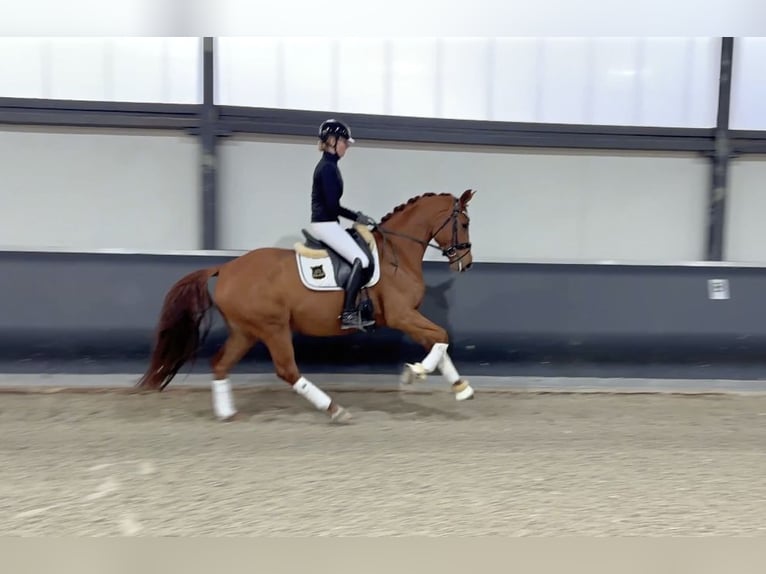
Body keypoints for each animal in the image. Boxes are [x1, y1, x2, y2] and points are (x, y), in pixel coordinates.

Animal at [135, 188, 476, 424]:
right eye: (464, 222)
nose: (466, 262)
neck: (398, 254)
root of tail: (226, 268)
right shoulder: (400, 315)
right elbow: (442, 335)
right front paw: (415, 372)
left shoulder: (407, 317)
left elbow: (437, 341)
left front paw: (460, 387)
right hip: (272, 328)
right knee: (287, 370)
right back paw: (335, 410)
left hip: (246, 331)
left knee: (220, 364)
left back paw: (226, 414)